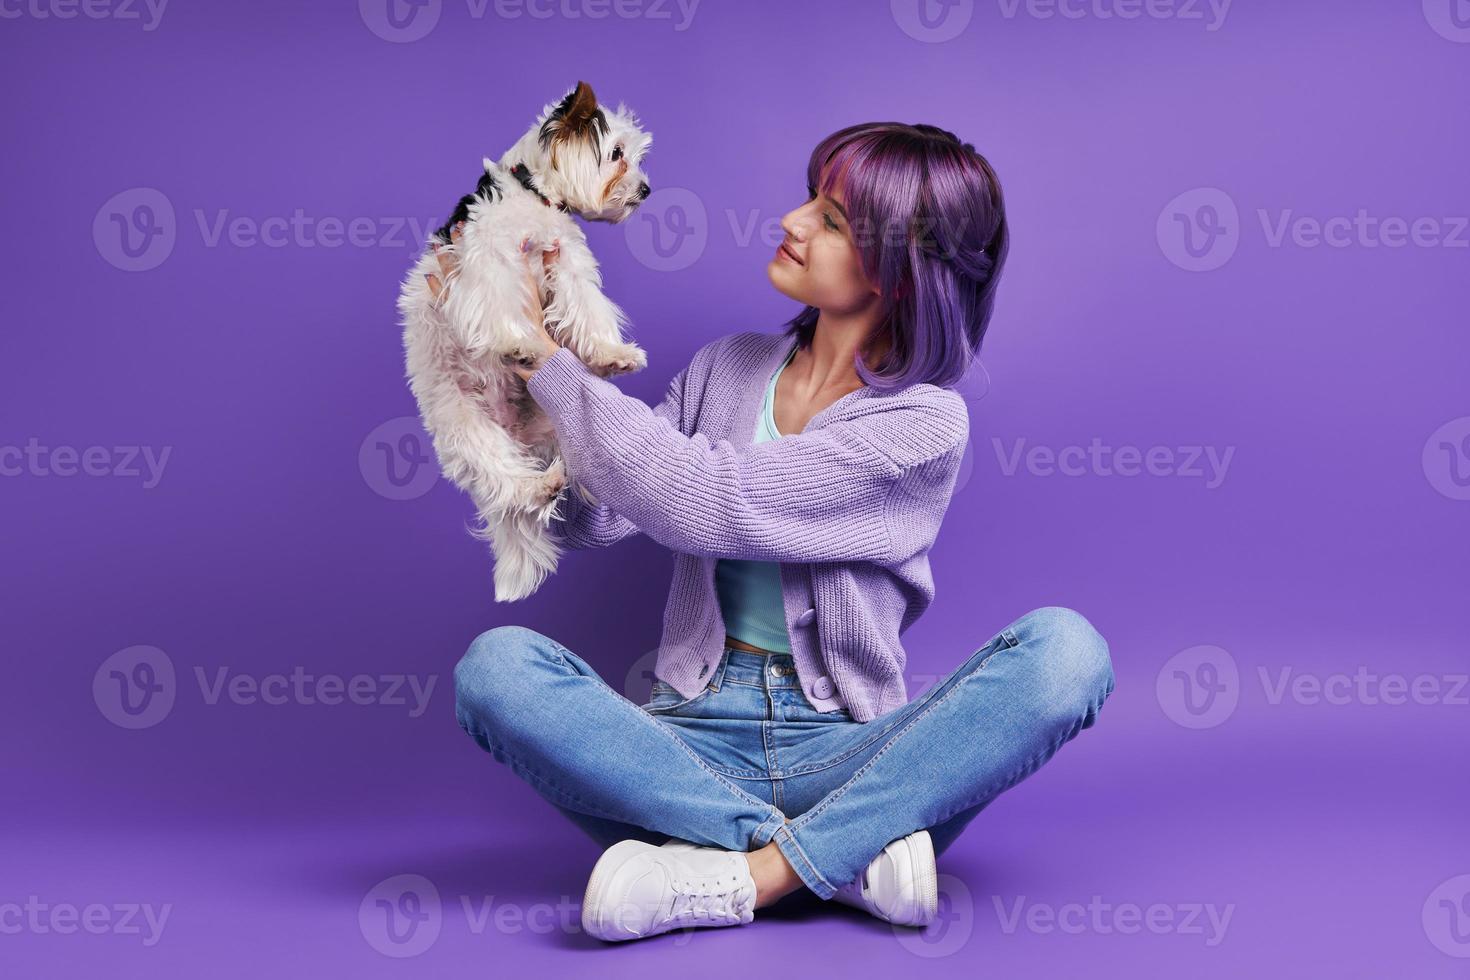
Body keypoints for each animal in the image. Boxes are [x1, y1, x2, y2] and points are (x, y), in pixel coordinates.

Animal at [402, 82, 655, 605]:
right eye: (617, 154)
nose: (646, 190)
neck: (536, 195)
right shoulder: (489, 258)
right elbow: (500, 302)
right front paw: (515, 342)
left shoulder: (567, 263)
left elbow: (586, 308)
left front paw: (611, 355)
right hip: (466, 427)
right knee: (505, 479)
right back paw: (538, 487)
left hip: (558, 428)